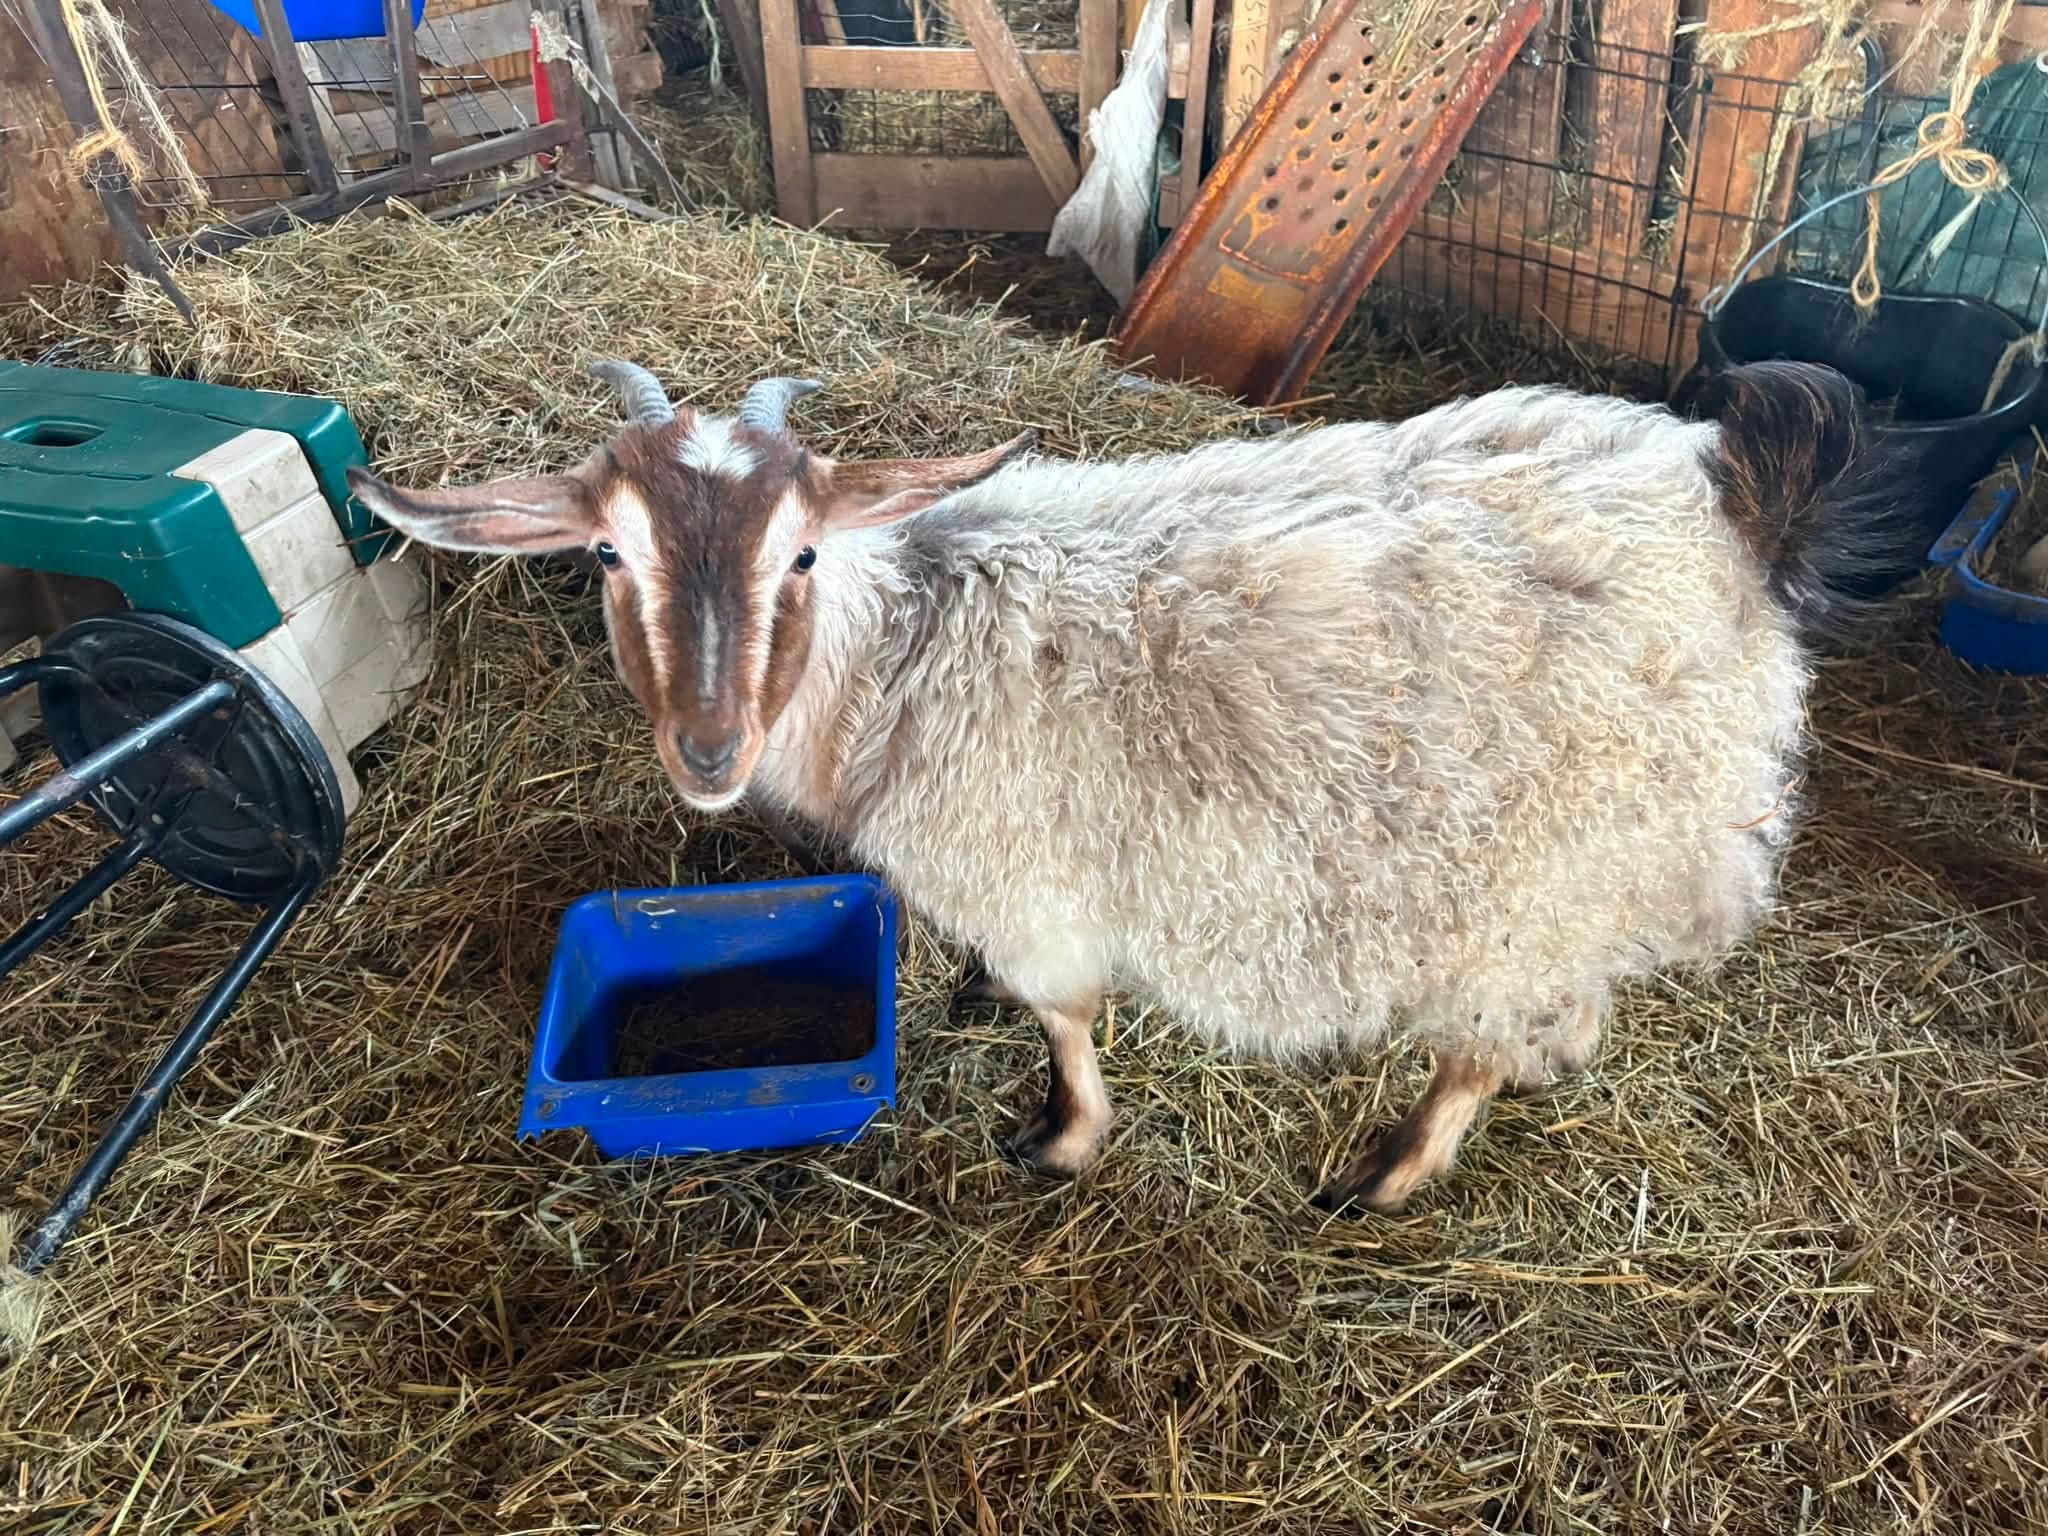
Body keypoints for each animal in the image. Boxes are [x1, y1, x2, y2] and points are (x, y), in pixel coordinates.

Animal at [347, 359, 1926, 1211]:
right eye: (608, 554)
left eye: (799, 551)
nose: (709, 752)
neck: (903, 647)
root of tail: (1736, 501)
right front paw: (973, 1006)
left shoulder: (1029, 875)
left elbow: (1064, 1017)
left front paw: (1065, 1140)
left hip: (1540, 877)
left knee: (1478, 1048)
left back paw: (1394, 1169)